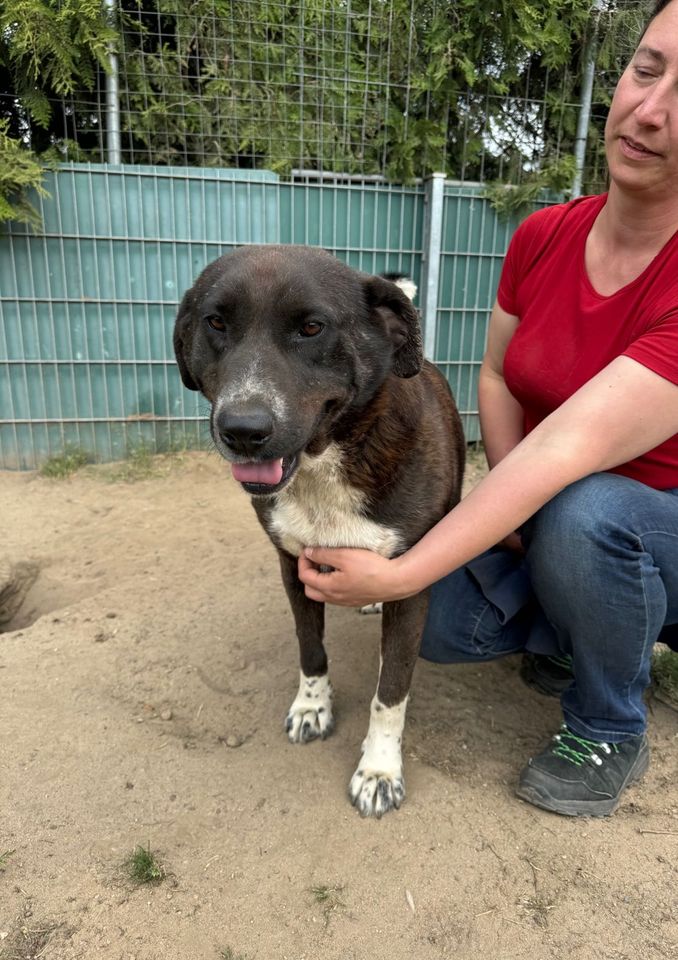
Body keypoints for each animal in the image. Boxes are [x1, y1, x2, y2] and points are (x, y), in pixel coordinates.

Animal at [173, 248, 464, 816]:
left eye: (311, 327)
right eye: (215, 323)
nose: (243, 430)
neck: (324, 463)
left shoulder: (411, 583)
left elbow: (390, 691)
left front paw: (379, 768)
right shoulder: (294, 566)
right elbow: (311, 649)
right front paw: (312, 707)